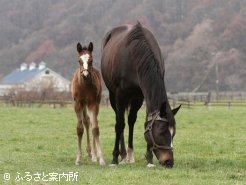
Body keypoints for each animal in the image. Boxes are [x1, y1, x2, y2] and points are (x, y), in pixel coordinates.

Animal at [100, 22, 181, 168]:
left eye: (174, 133)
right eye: (161, 132)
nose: (169, 162)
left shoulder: (143, 96)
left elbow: (146, 122)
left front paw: (149, 159)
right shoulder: (120, 95)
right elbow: (119, 124)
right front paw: (114, 158)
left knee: (130, 120)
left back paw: (129, 154)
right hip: (113, 96)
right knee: (120, 121)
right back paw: (122, 154)